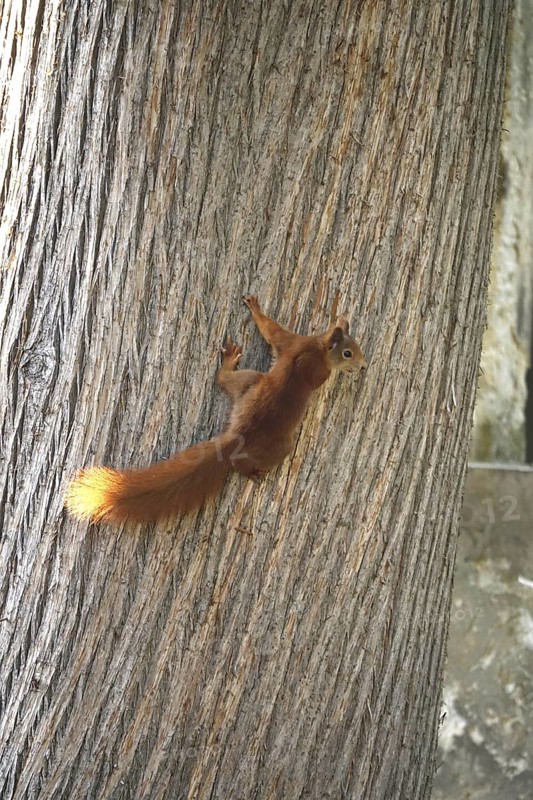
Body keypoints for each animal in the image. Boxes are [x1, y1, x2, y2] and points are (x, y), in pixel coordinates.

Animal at [65, 295, 367, 524]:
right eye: (348, 353)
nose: (364, 366)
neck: (318, 349)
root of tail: (237, 436)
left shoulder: (291, 343)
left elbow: (271, 332)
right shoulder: (307, 356)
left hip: (249, 383)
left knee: (224, 382)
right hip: (279, 444)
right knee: (245, 460)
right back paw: (250, 471)